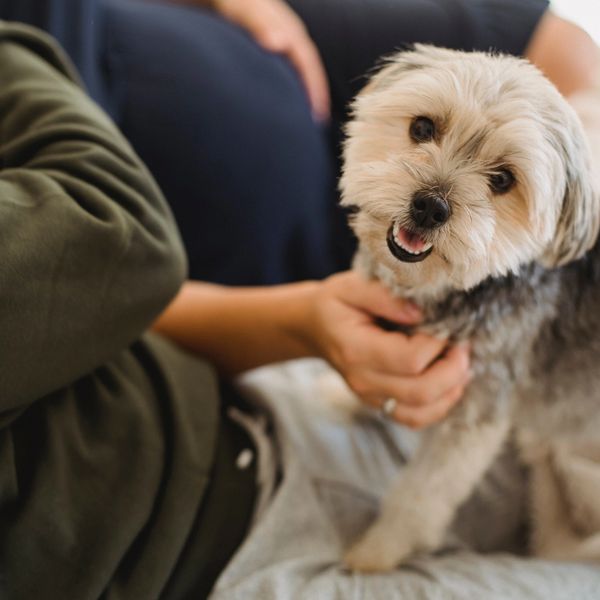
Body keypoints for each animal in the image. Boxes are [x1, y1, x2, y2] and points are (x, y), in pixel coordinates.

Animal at [340, 45, 600, 572]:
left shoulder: (473, 413)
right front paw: (339, 394)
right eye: (422, 128)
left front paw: (375, 553)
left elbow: (420, 496)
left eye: (502, 179)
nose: (430, 206)